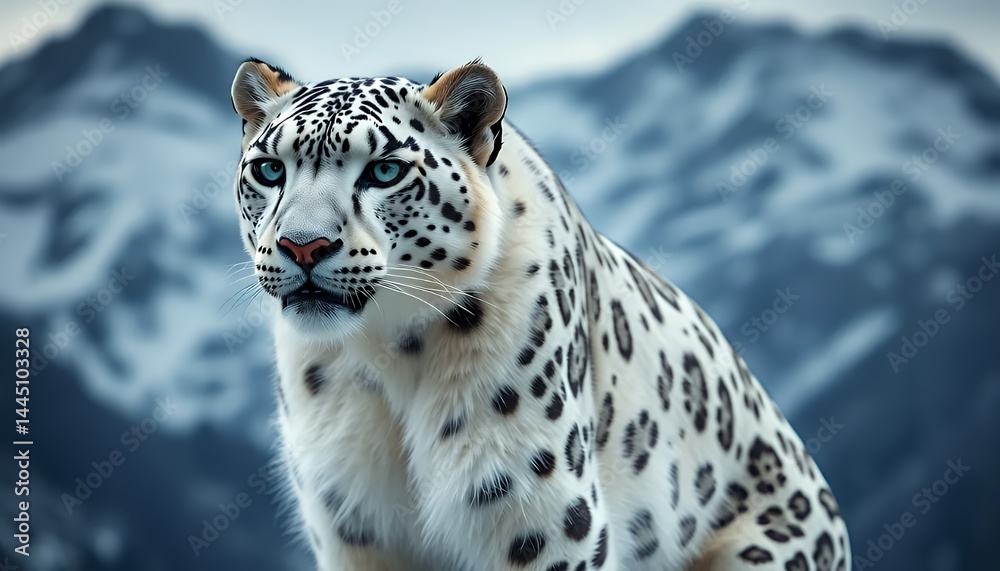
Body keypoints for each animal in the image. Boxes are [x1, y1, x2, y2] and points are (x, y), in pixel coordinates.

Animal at [228, 57, 851, 571]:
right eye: (269, 169)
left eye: (384, 171)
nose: (303, 247)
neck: (385, 355)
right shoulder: (352, 525)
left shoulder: (539, 516)